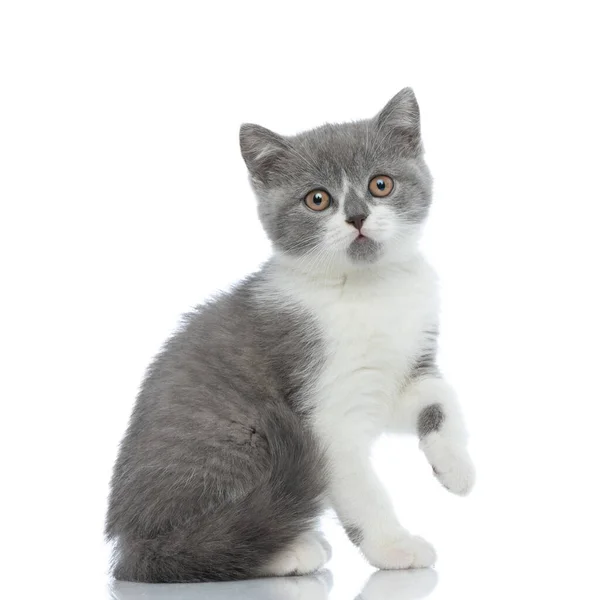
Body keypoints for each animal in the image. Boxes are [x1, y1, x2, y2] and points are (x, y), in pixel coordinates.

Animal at [105, 88, 476, 580]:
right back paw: (287, 551)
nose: (357, 216)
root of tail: (128, 544)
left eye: (381, 184)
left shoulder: (406, 365)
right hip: (235, 439)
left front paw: (456, 467)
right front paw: (393, 547)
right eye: (317, 199)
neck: (368, 290)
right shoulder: (325, 411)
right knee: (205, 546)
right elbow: (363, 490)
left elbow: (439, 395)